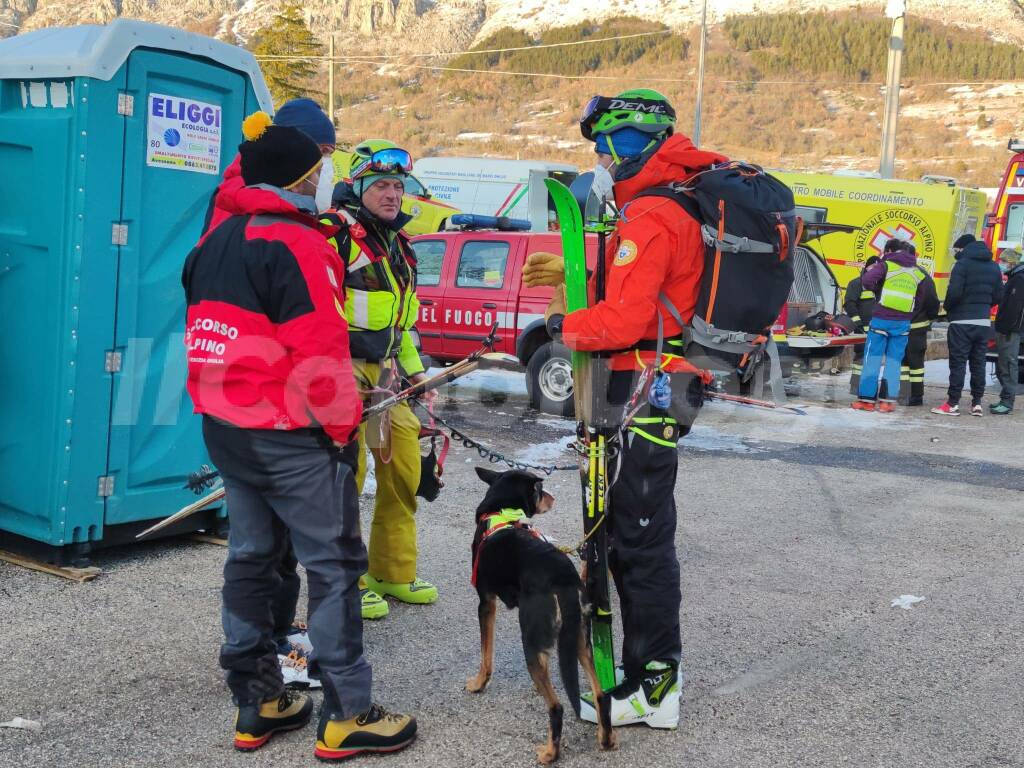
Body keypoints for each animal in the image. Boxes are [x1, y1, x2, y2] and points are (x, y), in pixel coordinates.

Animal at [466, 466, 614, 765]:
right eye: (538, 490)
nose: (552, 497)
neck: (501, 512)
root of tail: (564, 580)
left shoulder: (486, 603)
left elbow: (486, 656)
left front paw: (478, 684)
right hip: (579, 639)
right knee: (601, 694)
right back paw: (605, 738)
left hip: (532, 638)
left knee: (556, 707)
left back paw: (549, 753)